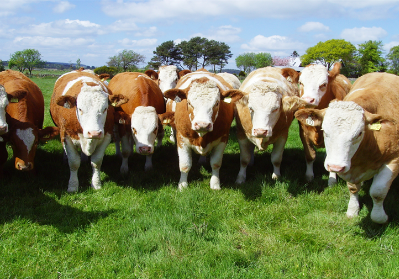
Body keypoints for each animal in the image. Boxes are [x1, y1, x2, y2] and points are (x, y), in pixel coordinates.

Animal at [294, 72, 399, 225]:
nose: (335, 167)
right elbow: (353, 188)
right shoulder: (351, 167)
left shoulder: (394, 160)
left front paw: (381, 217)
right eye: (324, 131)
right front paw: (352, 211)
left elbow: (378, 192)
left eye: (359, 133)